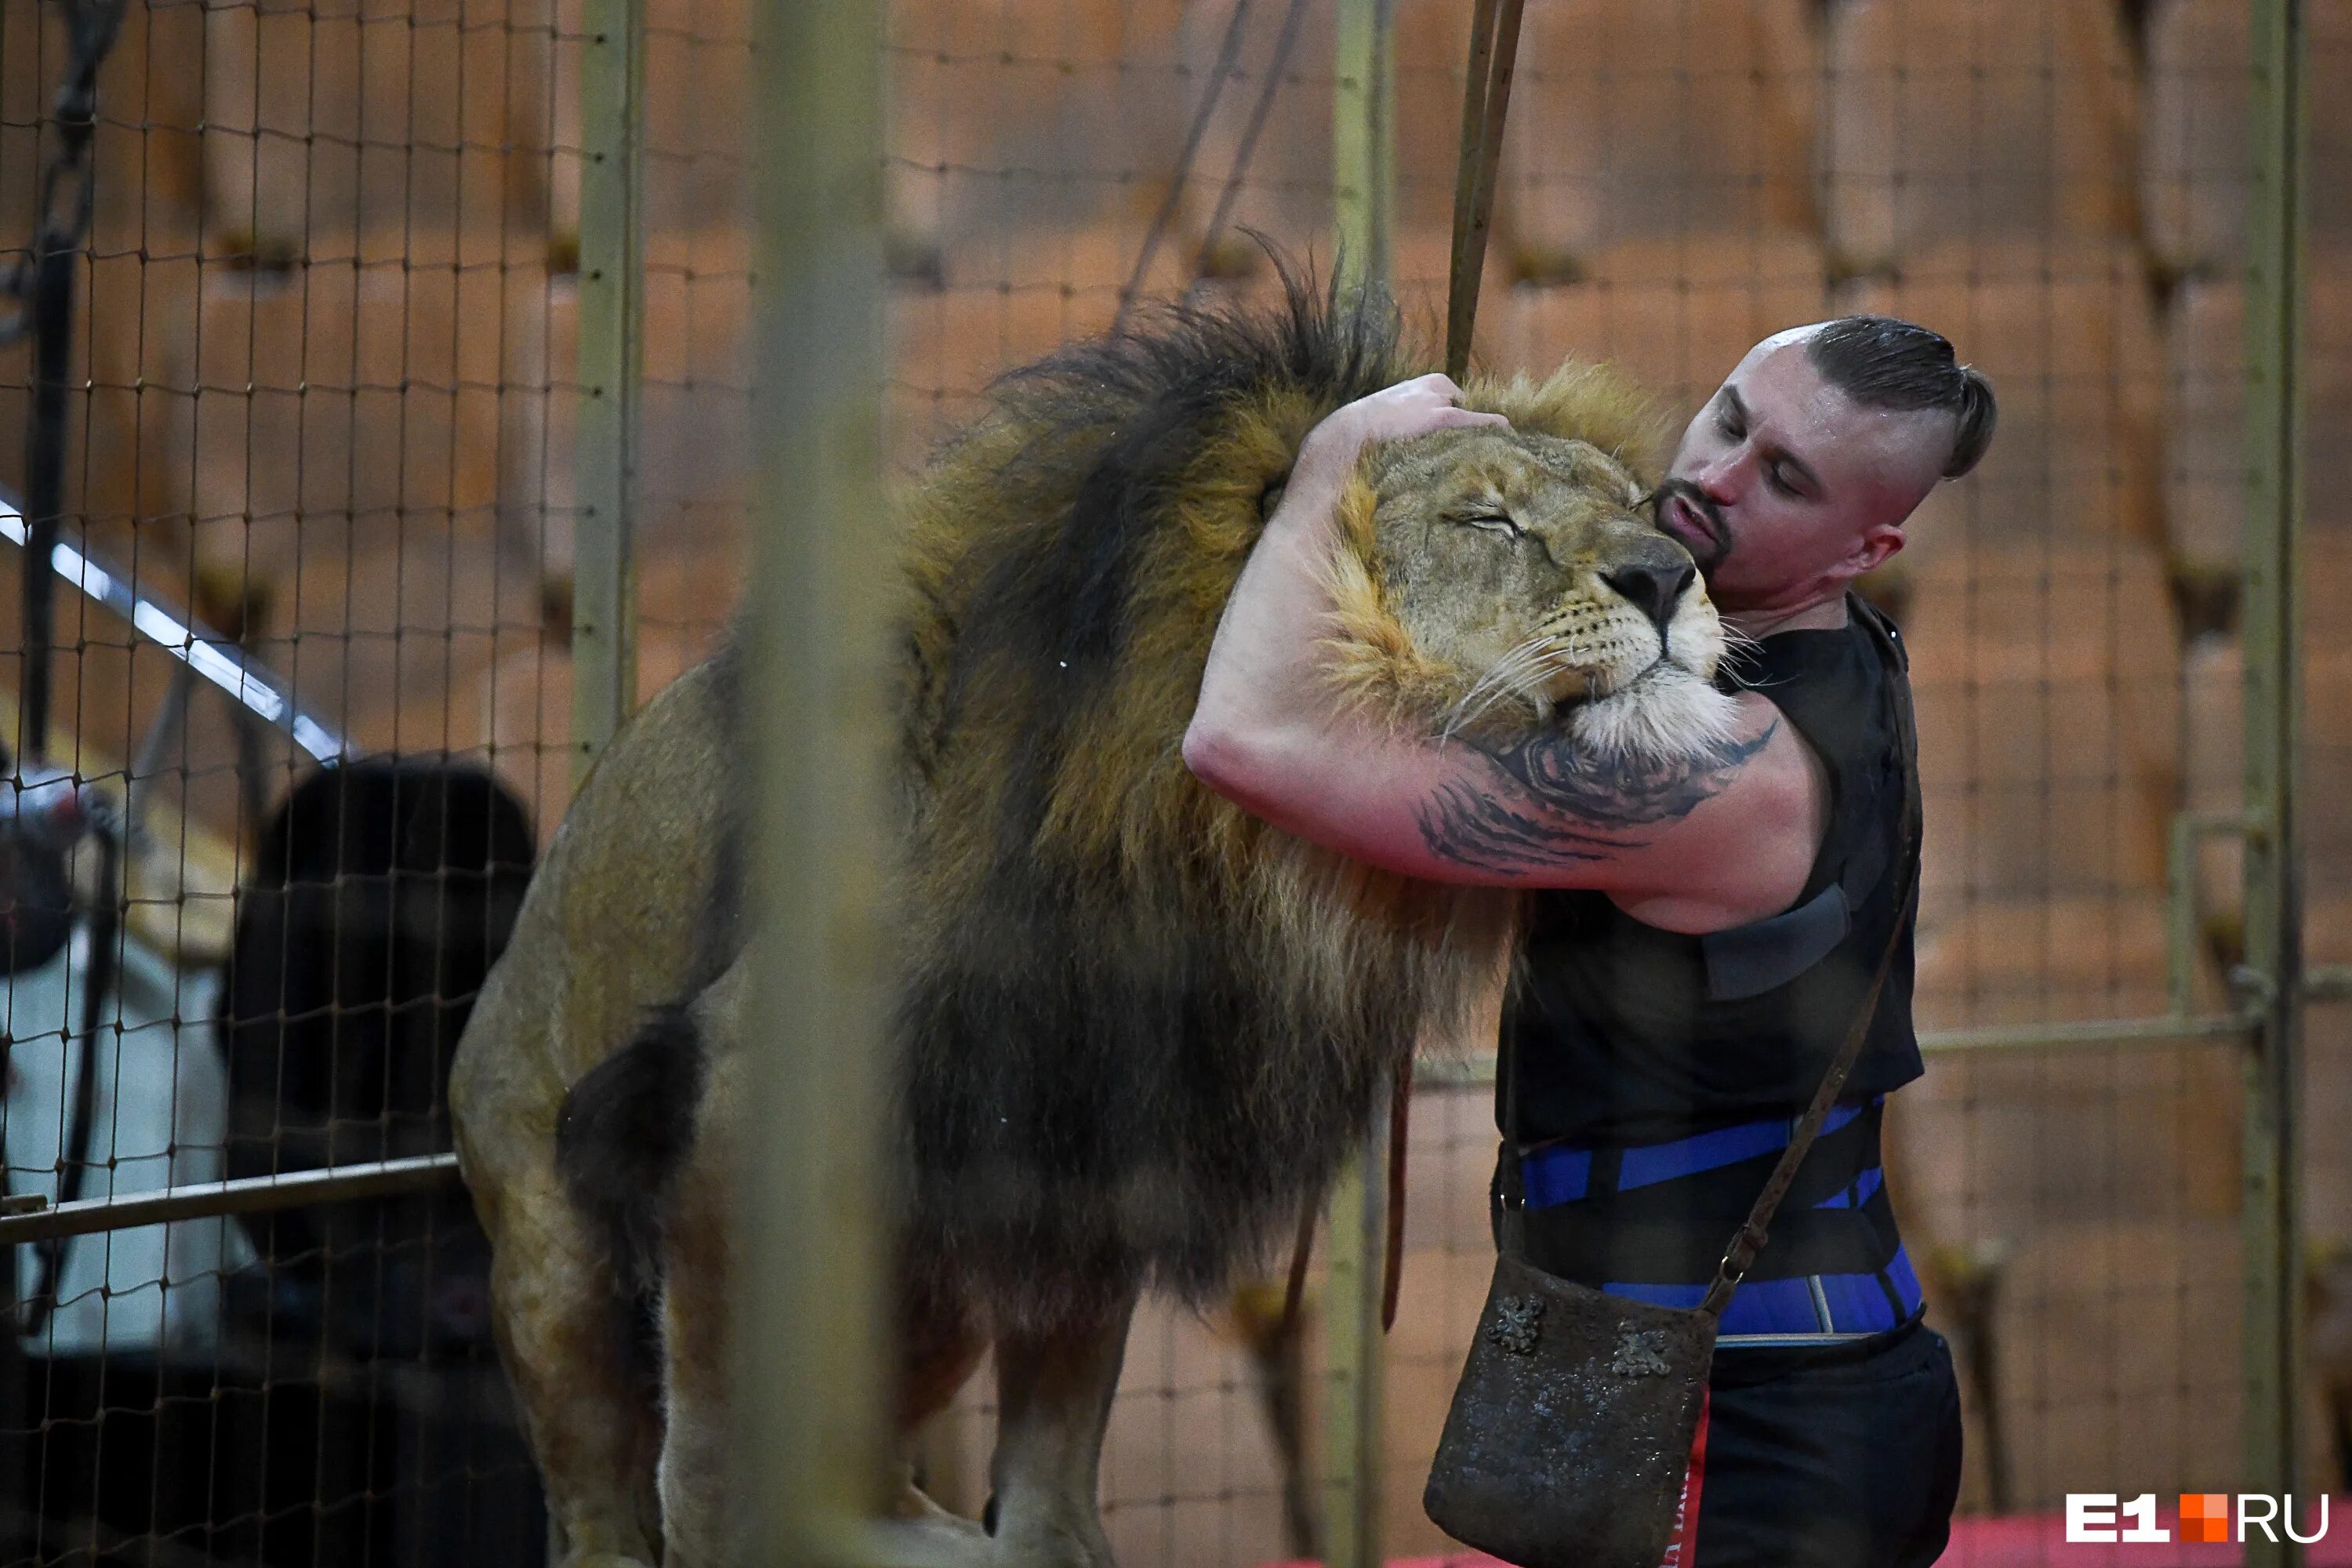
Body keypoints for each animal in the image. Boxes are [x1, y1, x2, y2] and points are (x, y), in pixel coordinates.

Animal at [445, 276, 1731, 1561]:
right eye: (1485, 523)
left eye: (1636, 505)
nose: (1668, 575)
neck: (1214, 854)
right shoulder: (740, 1099)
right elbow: (718, 1417)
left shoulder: (1107, 1119)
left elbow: (1066, 1397)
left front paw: (1052, 1543)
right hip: (554, 1252)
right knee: (602, 1492)